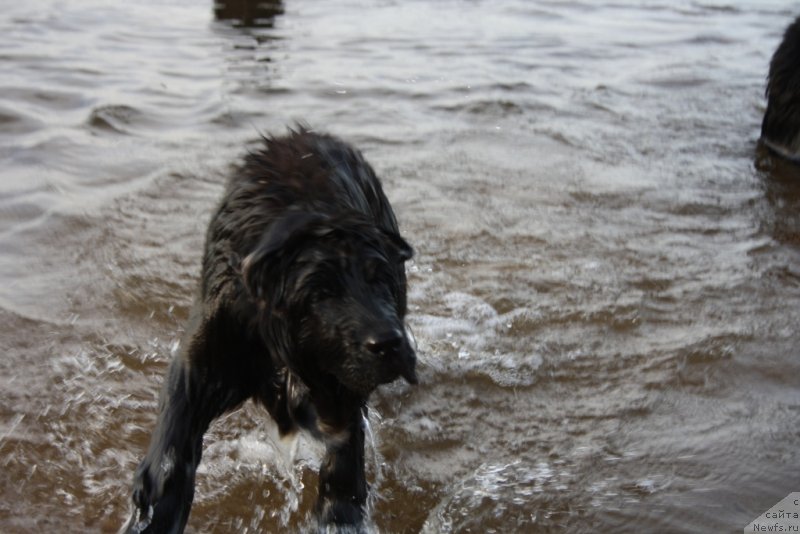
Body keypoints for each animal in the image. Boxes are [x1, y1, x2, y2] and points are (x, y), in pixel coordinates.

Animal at [123, 127, 418, 532]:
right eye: (322, 292)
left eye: (380, 278)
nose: (389, 343)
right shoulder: (207, 352)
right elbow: (175, 429)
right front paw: (157, 500)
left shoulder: (339, 386)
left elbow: (344, 453)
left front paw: (338, 508)